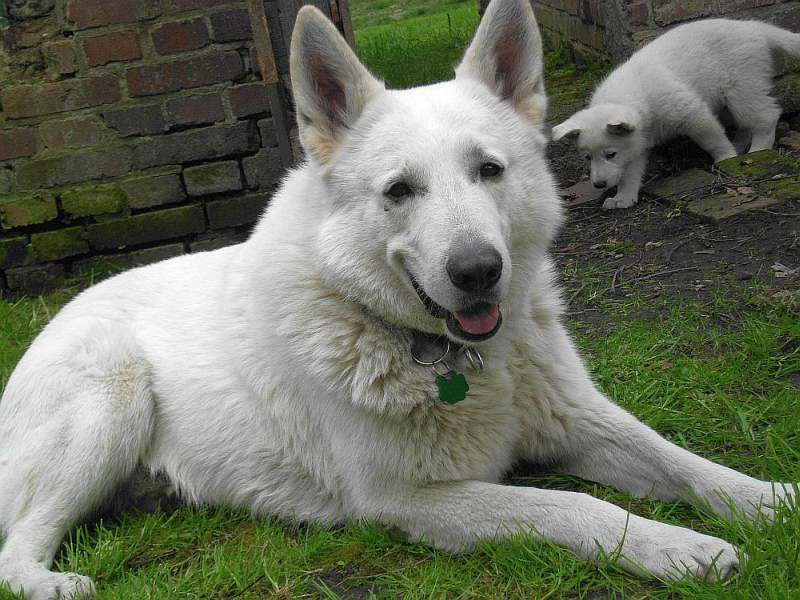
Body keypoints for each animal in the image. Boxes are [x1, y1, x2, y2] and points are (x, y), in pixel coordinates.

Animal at [552, 18, 796, 210]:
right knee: (746, 123)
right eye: (587, 158)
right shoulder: (635, 141)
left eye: (610, 154)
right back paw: (741, 146)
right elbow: (629, 171)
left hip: (742, 86)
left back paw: (758, 150)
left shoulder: (691, 112)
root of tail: (752, 27)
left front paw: (726, 158)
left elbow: (712, 139)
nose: (599, 185)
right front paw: (624, 197)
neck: (633, 96)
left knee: (766, 115)